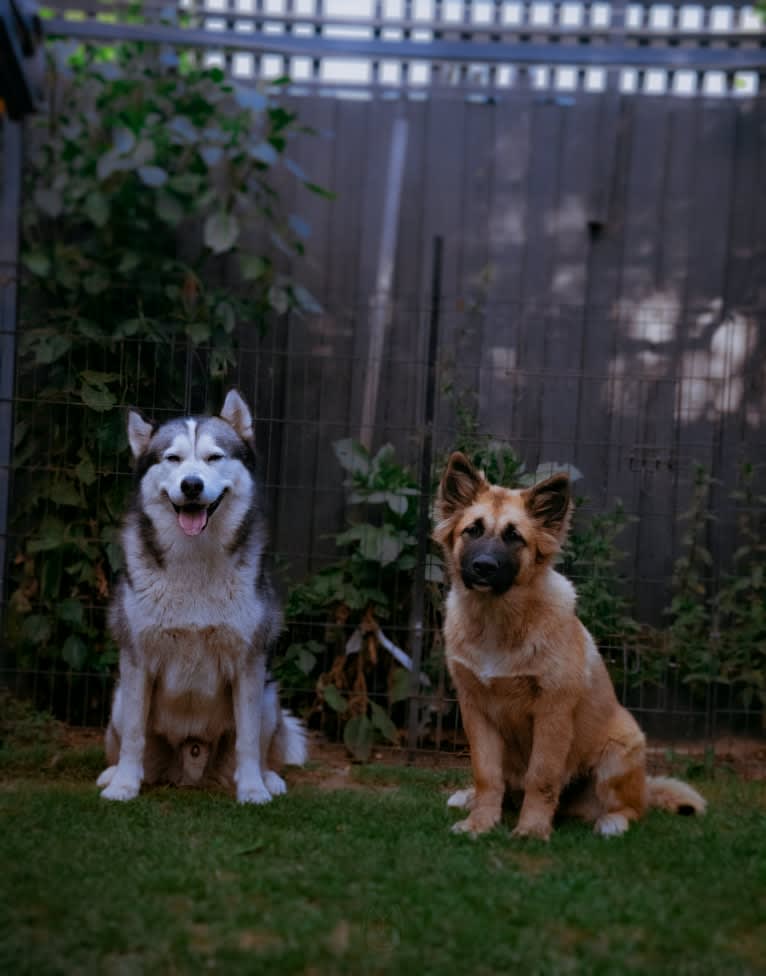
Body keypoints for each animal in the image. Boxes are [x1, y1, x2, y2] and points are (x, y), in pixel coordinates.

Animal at [436, 452, 704, 840]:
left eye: (514, 537)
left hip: (621, 749)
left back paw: (612, 821)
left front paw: (531, 830)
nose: (483, 567)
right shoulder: (477, 710)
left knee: (634, 808)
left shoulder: (553, 711)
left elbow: (542, 776)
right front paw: (480, 823)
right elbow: (487, 775)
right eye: (472, 530)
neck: (497, 622)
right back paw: (470, 798)